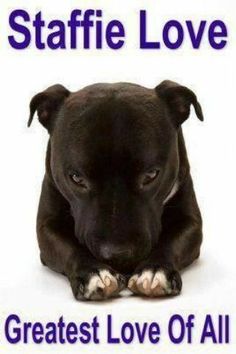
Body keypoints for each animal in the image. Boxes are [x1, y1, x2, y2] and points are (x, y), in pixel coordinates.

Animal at [29, 81, 203, 300]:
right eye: (76, 178)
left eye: (151, 175)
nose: (118, 256)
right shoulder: (46, 226)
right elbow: (69, 247)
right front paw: (95, 273)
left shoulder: (191, 222)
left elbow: (171, 242)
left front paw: (155, 270)